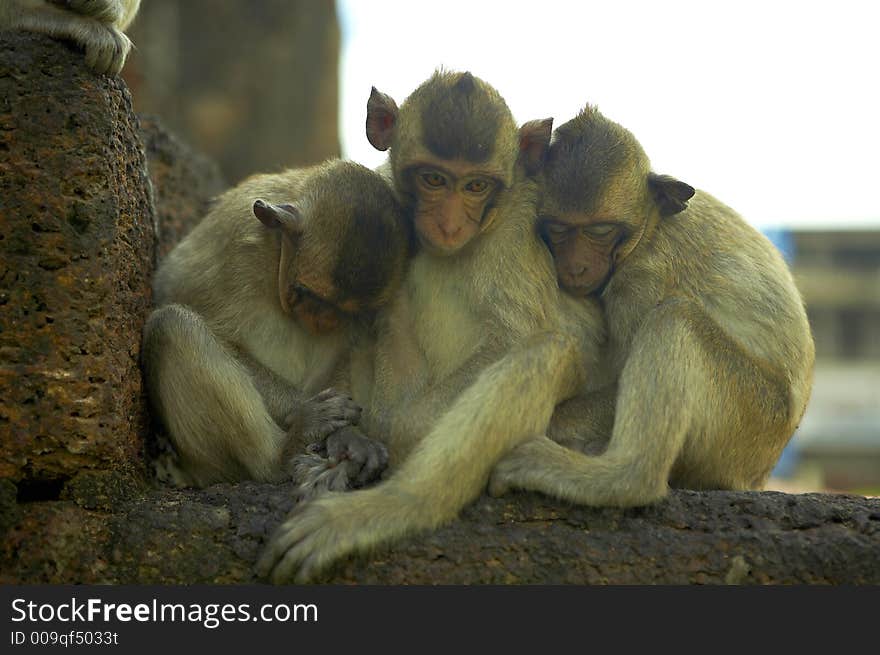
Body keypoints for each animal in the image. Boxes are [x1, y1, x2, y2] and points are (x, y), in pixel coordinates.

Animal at [140, 160, 410, 492]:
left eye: (346, 311)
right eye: (307, 293)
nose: (321, 320)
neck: (276, 250)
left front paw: (350, 437)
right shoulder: (239, 251)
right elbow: (218, 334)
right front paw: (307, 409)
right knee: (171, 325)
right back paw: (279, 456)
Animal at [258, 72, 608, 584]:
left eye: (476, 186)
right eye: (434, 179)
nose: (448, 225)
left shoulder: (515, 230)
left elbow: (514, 338)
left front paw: (371, 445)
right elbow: (377, 323)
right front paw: (346, 439)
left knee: (546, 351)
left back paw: (391, 507)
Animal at [484, 106, 816, 508]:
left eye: (600, 231)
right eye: (559, 230)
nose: (576, 267)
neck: (651, 229)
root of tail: (763, 469)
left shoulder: (641, 282)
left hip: (750, 419)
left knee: (675, 319)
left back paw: (619, 479)